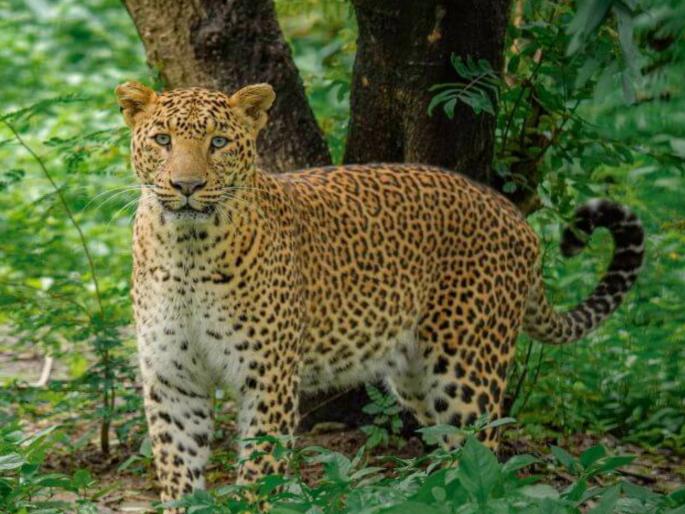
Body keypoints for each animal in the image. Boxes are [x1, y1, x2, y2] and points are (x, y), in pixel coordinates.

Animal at [115, 81, 644, 511]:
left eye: (219, 142)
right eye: (163, 140)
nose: (187, 185)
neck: (188, 250)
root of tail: (515, 216)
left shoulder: (266, 381)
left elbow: (259, 477)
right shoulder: (173, 379)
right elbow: (178, 472)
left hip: (465, 370)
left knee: (486, 455)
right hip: (416, 377)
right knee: (457, 454)